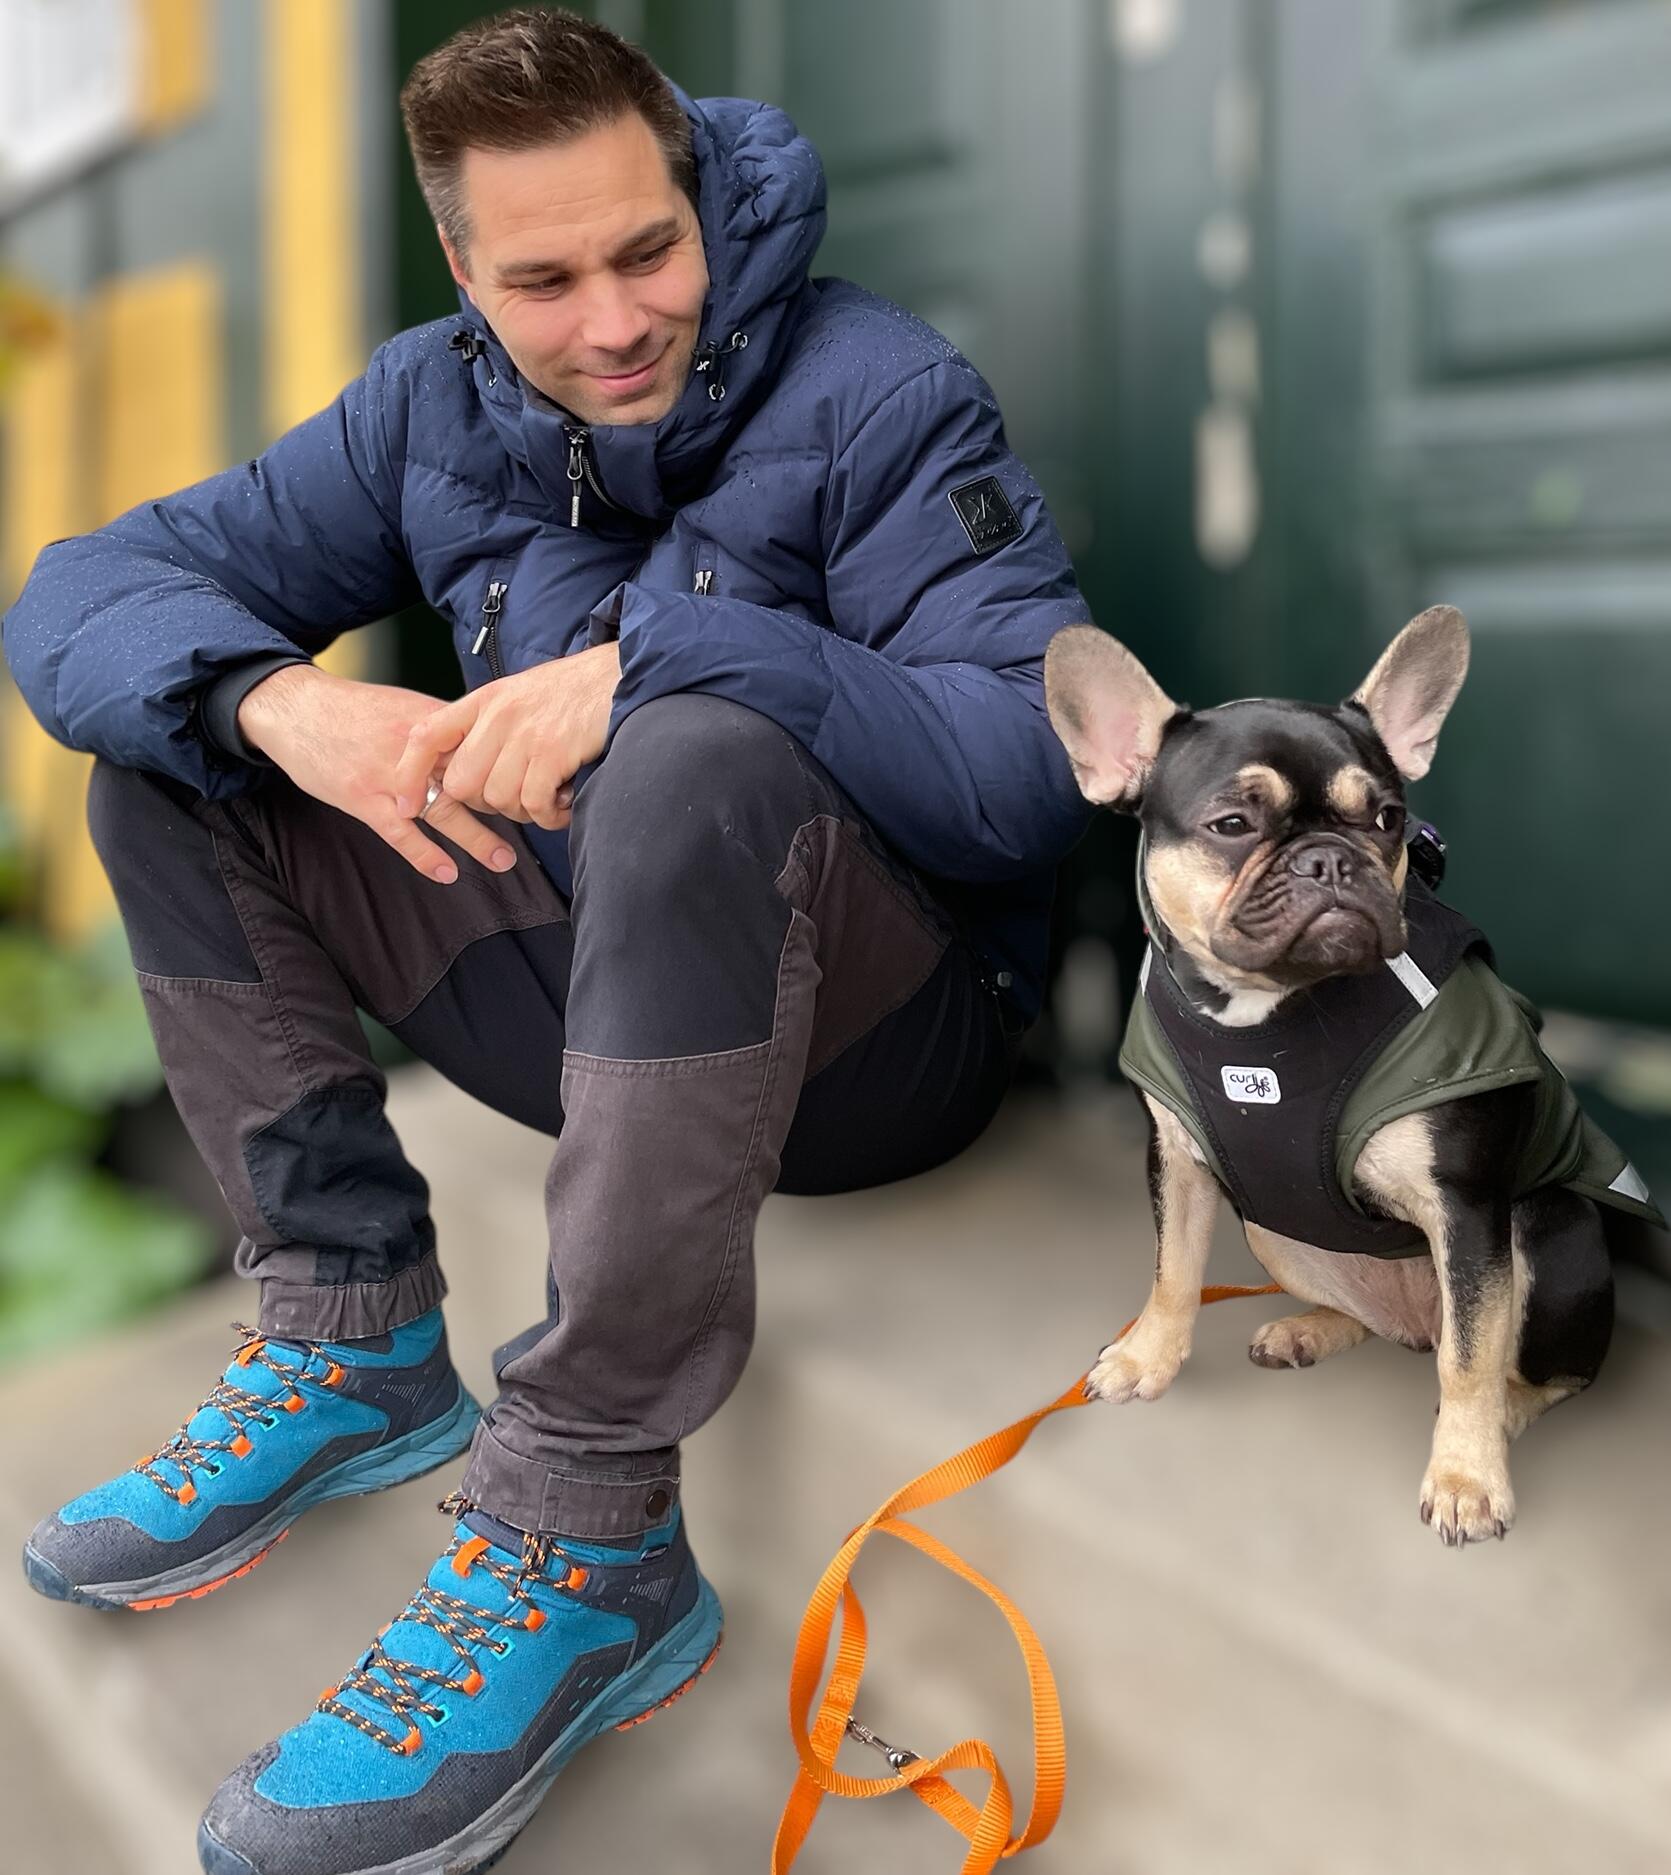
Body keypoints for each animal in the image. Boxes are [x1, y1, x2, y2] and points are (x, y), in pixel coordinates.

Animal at [1042, 606, 1662, 1545]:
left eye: (1388, 817)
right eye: (1232, 824)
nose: (1328, 858)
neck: (1269, 1019)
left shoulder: (1467, 1207)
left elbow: (1472, 1357)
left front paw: (1466, 1473)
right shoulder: (1176, 1164)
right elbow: (1172, 1267)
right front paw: (1148, 1354)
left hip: (1540, 1232)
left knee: (1522, 1365)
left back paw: (1502, 1414)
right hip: (1277, 1231)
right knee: (1378, 1324)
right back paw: (1312, 1330)